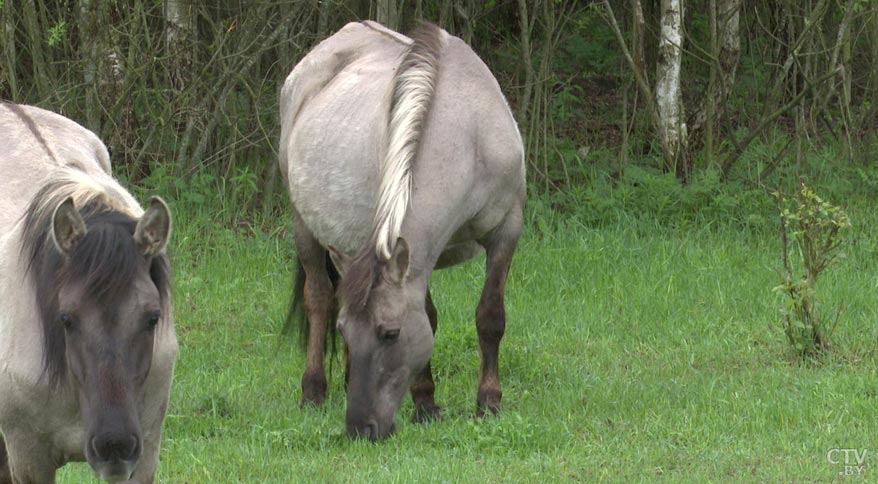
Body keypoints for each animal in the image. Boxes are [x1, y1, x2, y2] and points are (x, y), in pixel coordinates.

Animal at [280, 21, 524, 438]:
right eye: (343, 331)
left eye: (390, 333)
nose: (360, 428)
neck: (468, 135)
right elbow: (429, 316)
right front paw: (425, 401)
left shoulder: (507, 229)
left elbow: (490, 316)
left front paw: (488, 402)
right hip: (303, 225)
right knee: (319, 298)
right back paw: (313, 391)